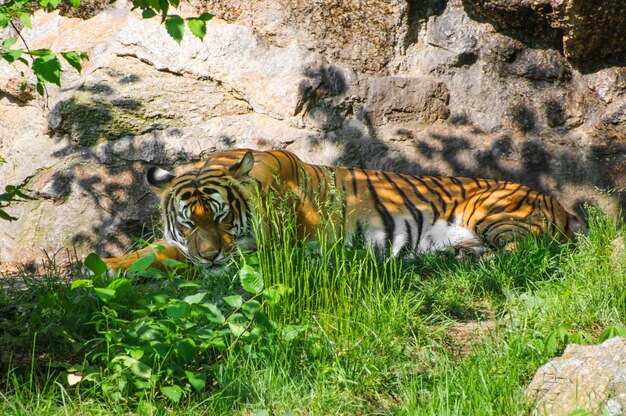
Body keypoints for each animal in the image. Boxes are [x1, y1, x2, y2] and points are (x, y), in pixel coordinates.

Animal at [100, 148, 584, 272]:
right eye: (187, 223)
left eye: (221, 218)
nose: (210, 255)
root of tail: (557, 201)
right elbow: (145, 253)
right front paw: (102, 267)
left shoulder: (270, 251)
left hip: (491, 210)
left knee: (534, 251)